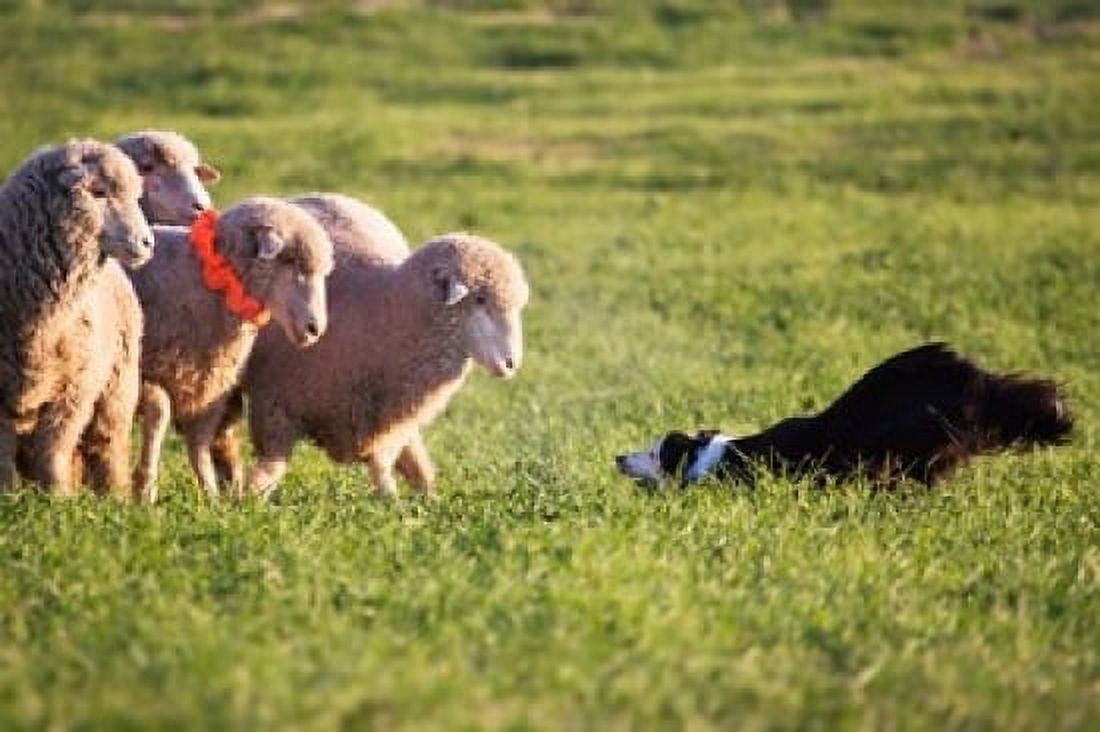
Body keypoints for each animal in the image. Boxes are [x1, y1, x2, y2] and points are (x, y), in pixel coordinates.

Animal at [0, 139, 153, 496]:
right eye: (97, 193)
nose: (147, 242)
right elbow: (3, 459)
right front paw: (8, 496)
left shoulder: (74, 391)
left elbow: (53, 450)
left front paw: (58, 499)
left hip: (117, 385)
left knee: (107, 444)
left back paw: (115, 497)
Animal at [129, 196, 334, 502]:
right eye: (290, 261)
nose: (315, 329)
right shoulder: (138, 371)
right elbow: (160, 410)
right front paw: (145, 489)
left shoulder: (207, 382)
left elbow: (199, 444)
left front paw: (210, 497)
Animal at [239, 232, 530, 499]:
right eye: (480, 299)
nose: (511, 364)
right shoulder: (273, 405)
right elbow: (273, 464)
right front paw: (249, 498)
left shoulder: (388, 422)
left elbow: (381, 467)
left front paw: (395, 502)